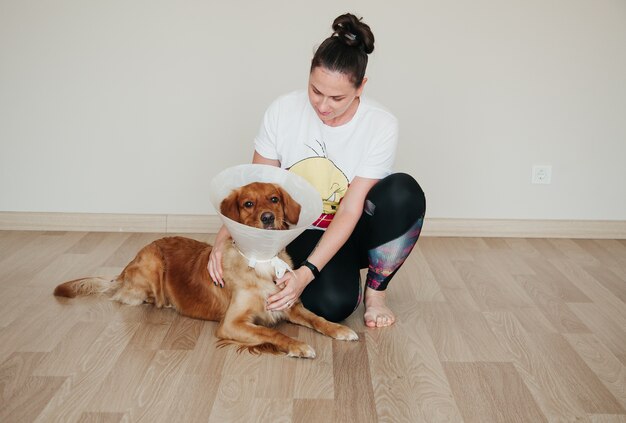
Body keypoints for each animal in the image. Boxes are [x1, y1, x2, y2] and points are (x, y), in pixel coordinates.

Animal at [54, 182, 356, 358]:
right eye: (248, 204)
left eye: (274, 199)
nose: (268, 218)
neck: (261, 261)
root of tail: (126, 267)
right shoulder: (232, 324)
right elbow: (273, 333)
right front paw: (298, 346)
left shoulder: (289, 304)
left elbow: (317, 318)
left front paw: (339, 330)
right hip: (151, 264)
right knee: (135, 297)